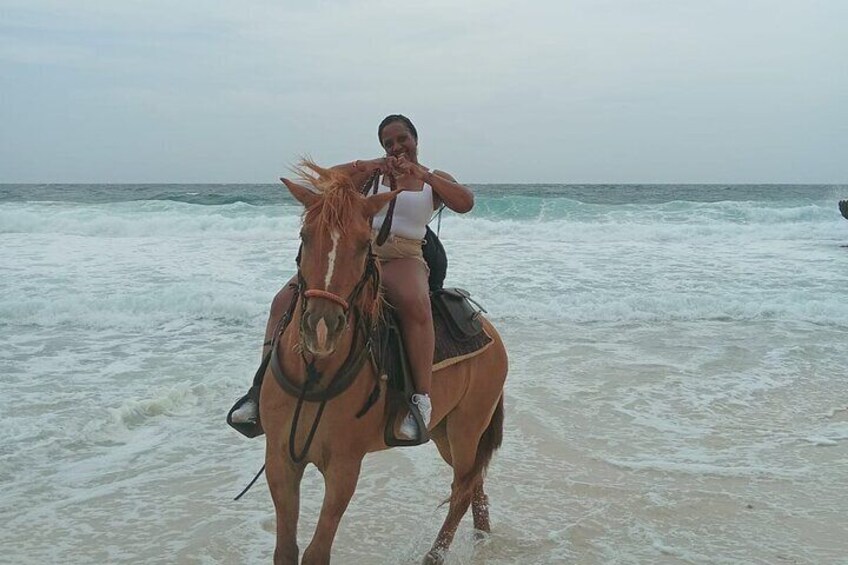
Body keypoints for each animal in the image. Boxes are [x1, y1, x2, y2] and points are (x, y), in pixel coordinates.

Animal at [260, 162, 509, 564]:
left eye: (365, 244)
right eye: (304, 235)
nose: (322, 327)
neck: (315, 374)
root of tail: (489, 329)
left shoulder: (344, 467)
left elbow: (316, 552)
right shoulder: (280, 460)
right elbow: (285, 550)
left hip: (467, 426)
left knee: (461, 489)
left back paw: (434, 555)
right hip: (443, 432)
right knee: (474, 483)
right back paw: (482, 539)